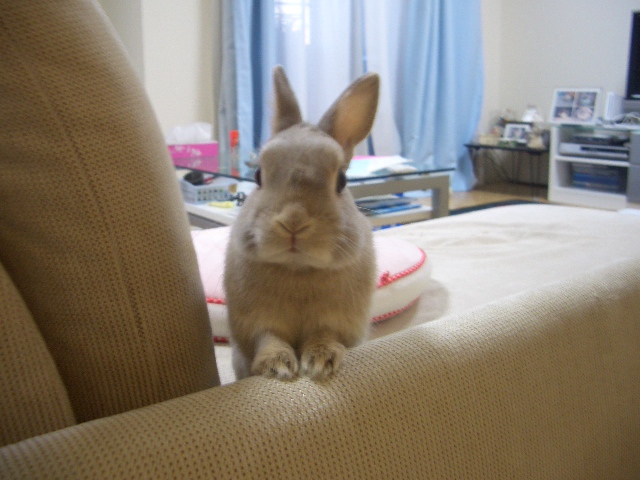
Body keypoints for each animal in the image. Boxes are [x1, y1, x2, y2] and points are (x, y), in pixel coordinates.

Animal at [224, 65, 380, 381]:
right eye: (258, 176)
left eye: (342, 181)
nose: (293, 223)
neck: (298, 268)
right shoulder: (257, 322)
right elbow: (268, 339)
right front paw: (278, 367)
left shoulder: (335, 321)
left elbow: (325, 334)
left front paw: (321, 362)